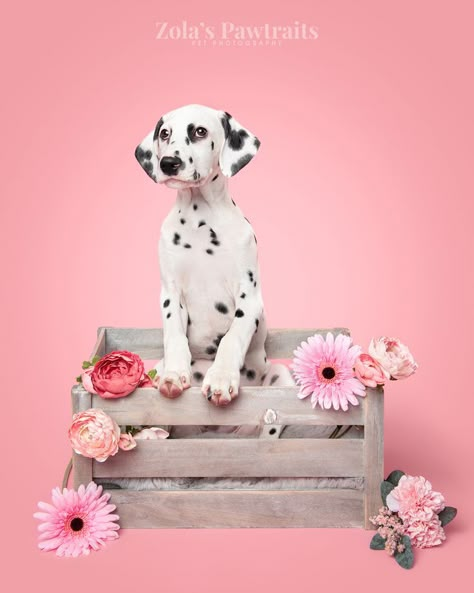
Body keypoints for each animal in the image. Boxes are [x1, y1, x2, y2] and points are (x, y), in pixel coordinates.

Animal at [135, 104, 294, 408]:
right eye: (164, 133)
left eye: (200, 131)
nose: (169, 163)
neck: (200, 219)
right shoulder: (170, 294)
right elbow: (175, 336)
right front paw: (175, 374)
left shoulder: (249, 297)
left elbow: (232, 337)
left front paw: (221, 378)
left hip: (280, 375)